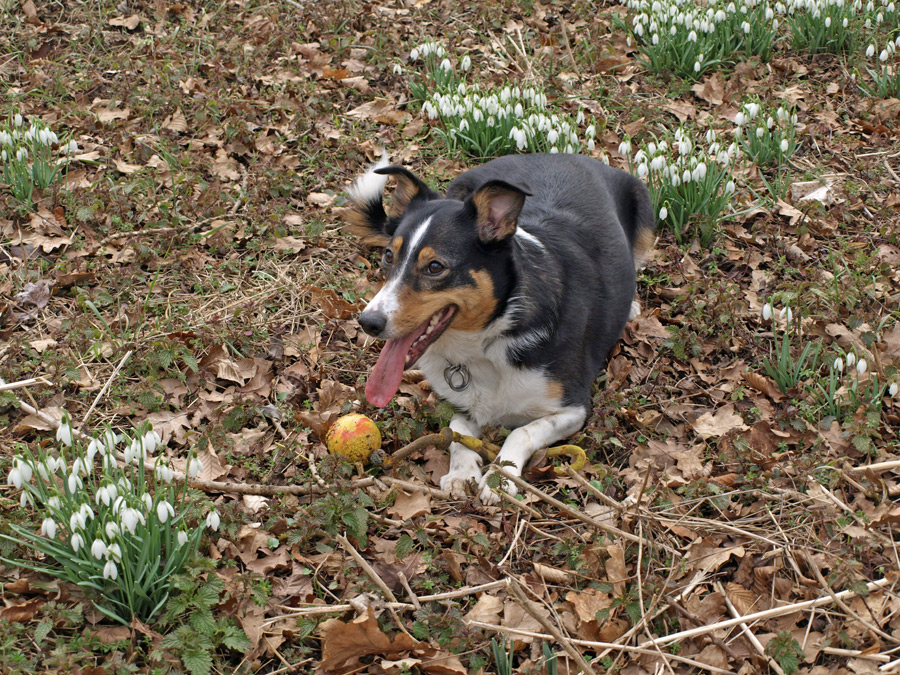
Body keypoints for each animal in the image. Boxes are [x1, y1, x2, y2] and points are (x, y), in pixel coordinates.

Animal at [346, 152, 652, 502]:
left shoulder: (573, 409)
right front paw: (461, 472)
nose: (368, 323)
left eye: (435, 267)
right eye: (388, 255)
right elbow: (456, 431)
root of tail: (558, 153)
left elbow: (521, 432)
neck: (489, 338)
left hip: (644, 208)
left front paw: (501, 479)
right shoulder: (457, 403)